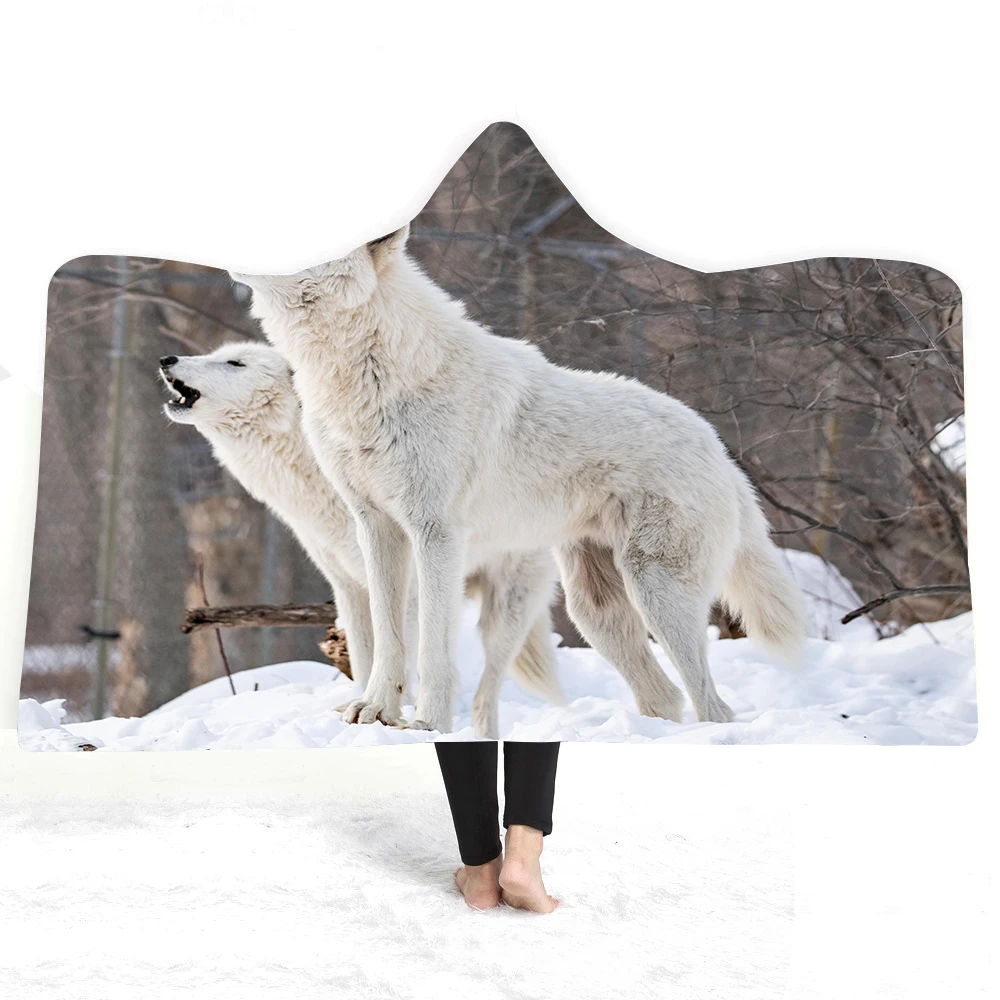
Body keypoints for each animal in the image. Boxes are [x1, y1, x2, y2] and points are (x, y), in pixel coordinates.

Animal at [159, 341, 563, 736]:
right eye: (214, 355)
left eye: (235, 363)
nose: (167, 358)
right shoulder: (347, 585)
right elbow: (366, 655)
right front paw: (364, 708)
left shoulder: (408, 585)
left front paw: (393, 713)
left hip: (505, 613)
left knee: (487, 693)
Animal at [231, 226, 807, 734]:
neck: (368, 371)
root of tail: (719, 450)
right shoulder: (375, 526)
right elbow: (389, 641)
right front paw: (374, 713)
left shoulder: (436, 534)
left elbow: (431, 647)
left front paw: (427, 724)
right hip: (594, 611)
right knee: (664, 696)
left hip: (655, 593)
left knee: (712, 705)